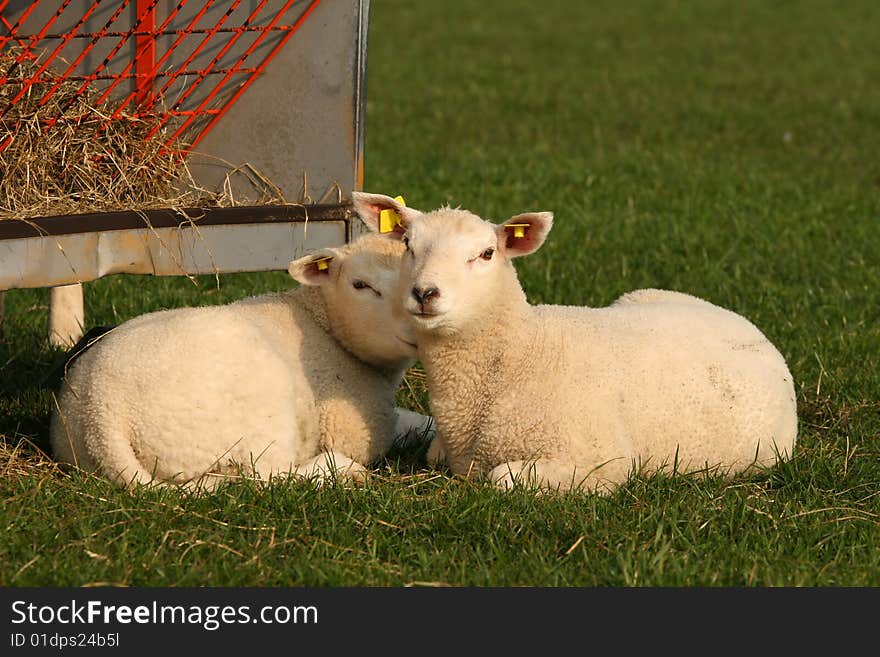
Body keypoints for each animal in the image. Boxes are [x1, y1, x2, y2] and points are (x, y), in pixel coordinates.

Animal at [49, 233, 434, 490]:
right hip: (259, 429)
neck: (322, 323)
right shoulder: (361, 426)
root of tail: (103, 418)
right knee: (269, 478)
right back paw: (340, 469)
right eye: (361, 285)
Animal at [350, 192, 796, 494]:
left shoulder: (599, 462)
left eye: (487, 253)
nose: (425, 293)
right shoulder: (445, 452)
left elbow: (501, 478)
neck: (521, 352)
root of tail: (747, 325)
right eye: (408, 245)